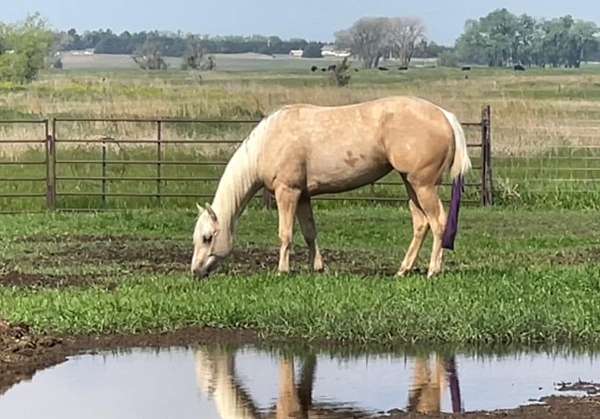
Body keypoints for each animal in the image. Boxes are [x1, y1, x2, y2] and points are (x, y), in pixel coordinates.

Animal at [192, 96, 474, 278]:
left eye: (208, 237)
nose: (195, 272)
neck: (268, 142)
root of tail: (444, 115)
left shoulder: (287, 192)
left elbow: (285, 234)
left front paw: (282, 271)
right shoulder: (303, 196)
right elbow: (309, 232)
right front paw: (317, 267)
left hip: (423, 185)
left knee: (438, 223)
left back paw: (433, 271)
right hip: (411, 185)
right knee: (421, 224)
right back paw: (403, 270)